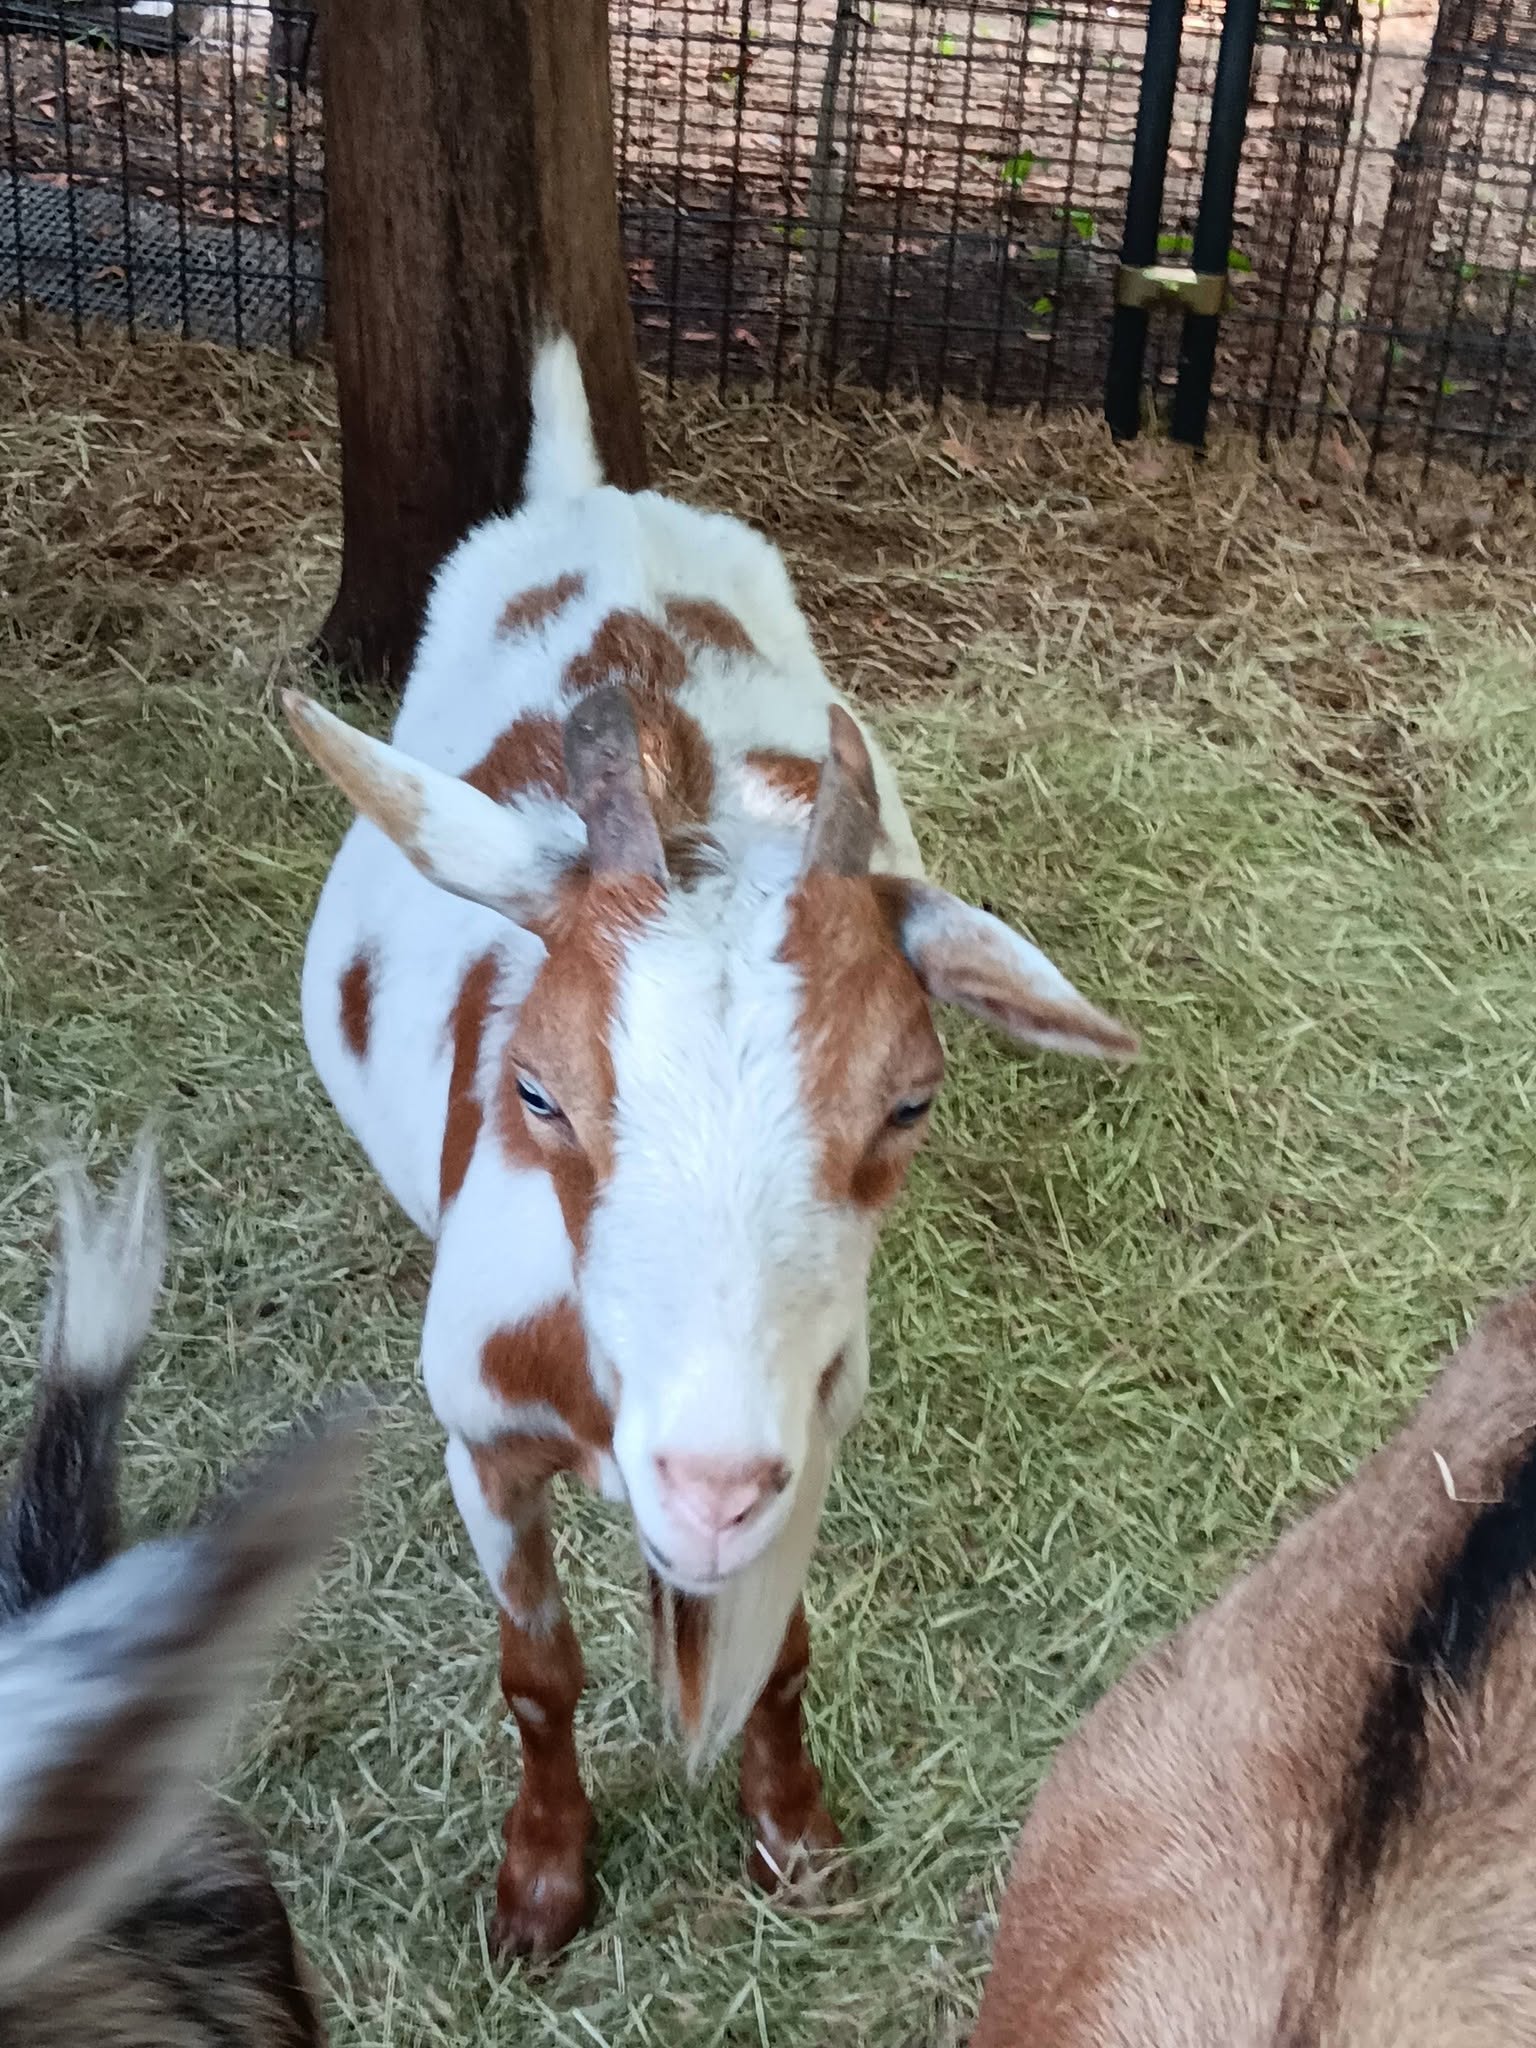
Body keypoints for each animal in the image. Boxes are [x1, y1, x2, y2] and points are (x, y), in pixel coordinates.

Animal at [282, 332, 1138, 1957]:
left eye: (910, 1100)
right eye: (536, 1089)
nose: (710, 1484)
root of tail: (590, 490)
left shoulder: (813, 1431)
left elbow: (782, 1650)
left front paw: (794, 1837)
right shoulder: (482, 1442)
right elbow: (537, 1670)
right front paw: (543, 1885)